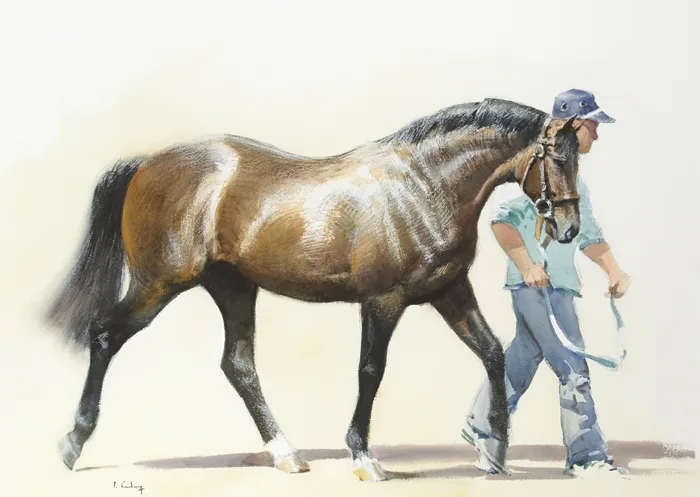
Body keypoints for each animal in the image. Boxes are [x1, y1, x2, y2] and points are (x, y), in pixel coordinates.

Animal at [45, 97, 582, 481]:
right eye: (557, 156)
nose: (570, 229)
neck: (422, 187)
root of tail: (145, 164)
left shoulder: (449, 292)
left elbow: (493, 354)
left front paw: (495, 453)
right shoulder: (383, 302)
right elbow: (371, 372)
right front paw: (364, 457)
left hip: (233, 288)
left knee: (238, 365)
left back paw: (286, 454)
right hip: (159, 284)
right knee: (104, 334)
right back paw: (72, 442)